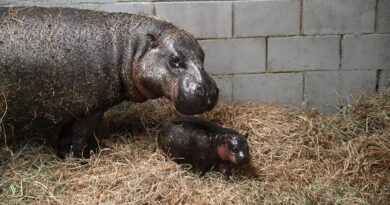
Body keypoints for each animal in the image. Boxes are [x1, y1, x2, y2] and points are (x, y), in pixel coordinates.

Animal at [0, 6, 219, 157]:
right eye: (174, 59)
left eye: (203, 55)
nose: (209, 91)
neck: (129, 48)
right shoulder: (89, 109)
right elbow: (79, 137)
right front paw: (82, 159)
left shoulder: (70, 109)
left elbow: (65, 136)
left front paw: (63, 156)